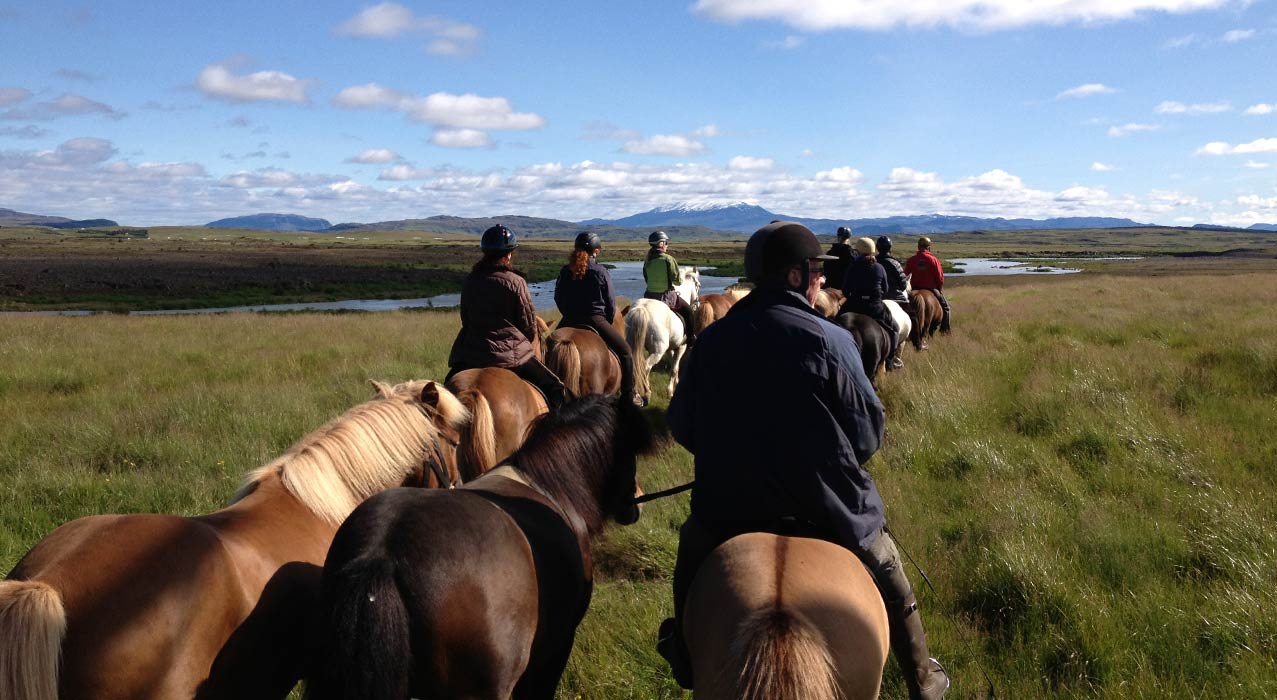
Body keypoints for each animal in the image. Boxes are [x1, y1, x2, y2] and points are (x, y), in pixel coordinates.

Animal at [625, 264, 704, 403]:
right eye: (698, 285)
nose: (697, 304)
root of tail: (642, 308)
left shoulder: (671, 349)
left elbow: (674, 366)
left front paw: (677, 382)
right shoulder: (681, 347)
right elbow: (674, 369)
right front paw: (670, 392)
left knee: (635, 367)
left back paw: (635, 395)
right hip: (657, 352)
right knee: (645, 368)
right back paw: (647, 393)